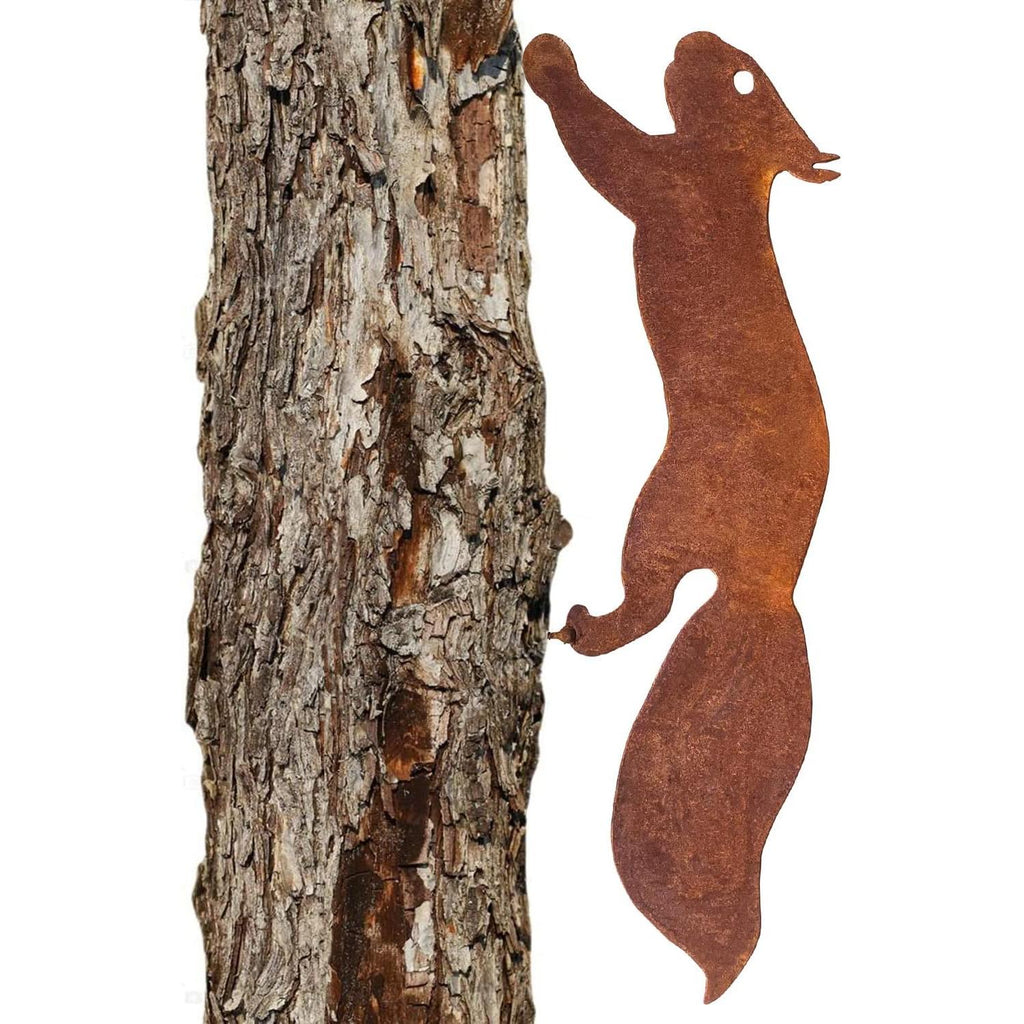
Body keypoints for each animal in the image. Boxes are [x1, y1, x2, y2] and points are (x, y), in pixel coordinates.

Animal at [524, 31, 838, 1002]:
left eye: (741, 78)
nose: (692, 38)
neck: (736, 174)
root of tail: (767, 587)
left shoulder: (668, 181)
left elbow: (608, 149)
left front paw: (548, 61)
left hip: (661, 514)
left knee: (649, 606)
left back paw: (581, 627)